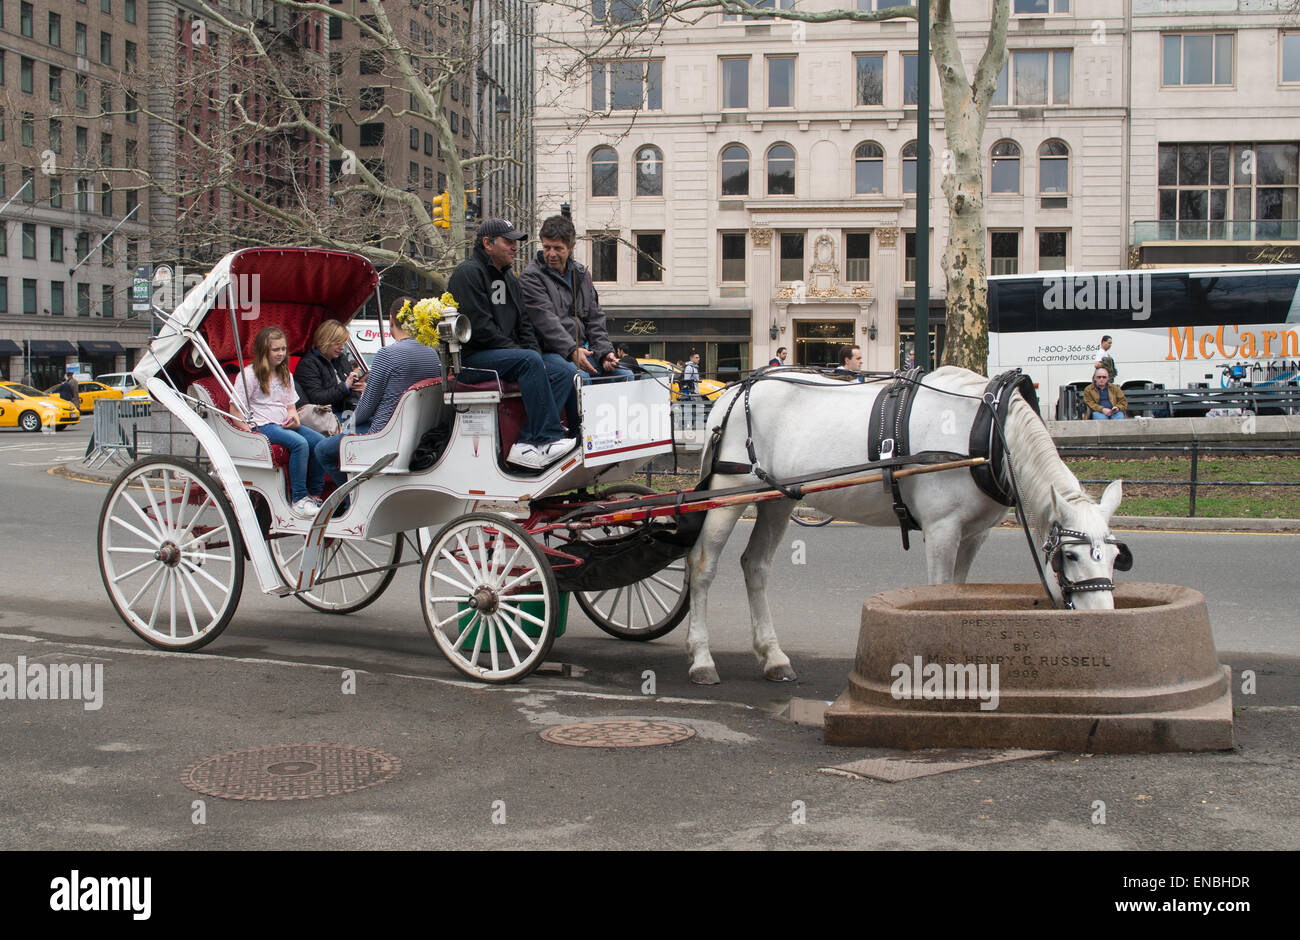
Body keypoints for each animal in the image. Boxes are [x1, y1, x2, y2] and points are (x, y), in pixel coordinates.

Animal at [686, 366, 1123, 686]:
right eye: (1070, 555)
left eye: (1116, 556)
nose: (1104, 621)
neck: (985, 429)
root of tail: (730, 394)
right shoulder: (943, 529)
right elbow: (938, 593)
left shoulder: (975, 533)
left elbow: (958, 594)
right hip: (728, 491)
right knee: (702, 566)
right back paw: (702, 657)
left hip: (777, 499)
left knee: (756, 565)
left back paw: (773, 656)